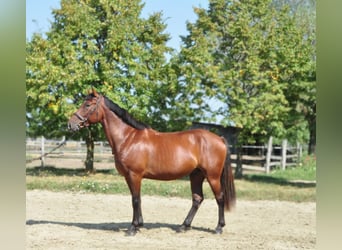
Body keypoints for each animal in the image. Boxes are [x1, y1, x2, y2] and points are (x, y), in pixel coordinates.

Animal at [68, 89, 236, 235]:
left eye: (87, 105)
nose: (70, 124)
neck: (128, 138)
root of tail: (219, 139)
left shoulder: (134, 175)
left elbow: (135, 200)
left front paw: (133, 228)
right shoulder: (129, 177)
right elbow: (136, 199)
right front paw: (139, 225)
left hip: (212, 176)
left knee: (220, 198)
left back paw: (218, 228)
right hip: (196, 175)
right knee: (197, 199)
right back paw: (183, 226)